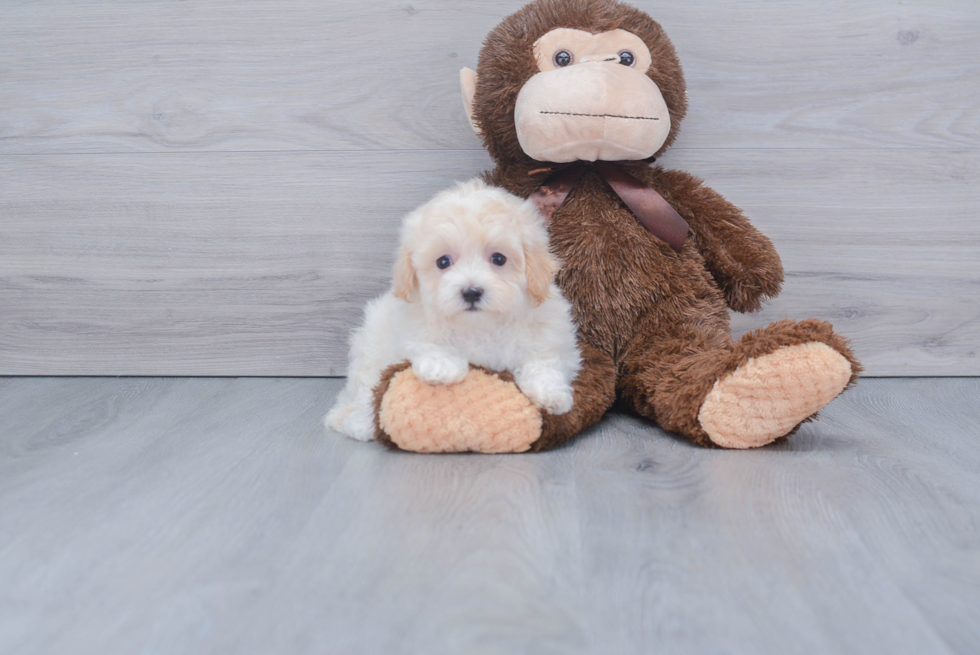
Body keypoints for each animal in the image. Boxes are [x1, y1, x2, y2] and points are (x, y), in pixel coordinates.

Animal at [326, 181, 580, 440]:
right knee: (365, 389)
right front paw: (441, 367)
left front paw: (551, 394)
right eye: (443, 262)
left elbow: (544, 359)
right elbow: (424, 342)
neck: (479, 325)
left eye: (499, 259)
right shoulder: (409, 323)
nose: (471, 292)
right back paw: (358, 423)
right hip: (372, 348)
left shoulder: (550, 333)